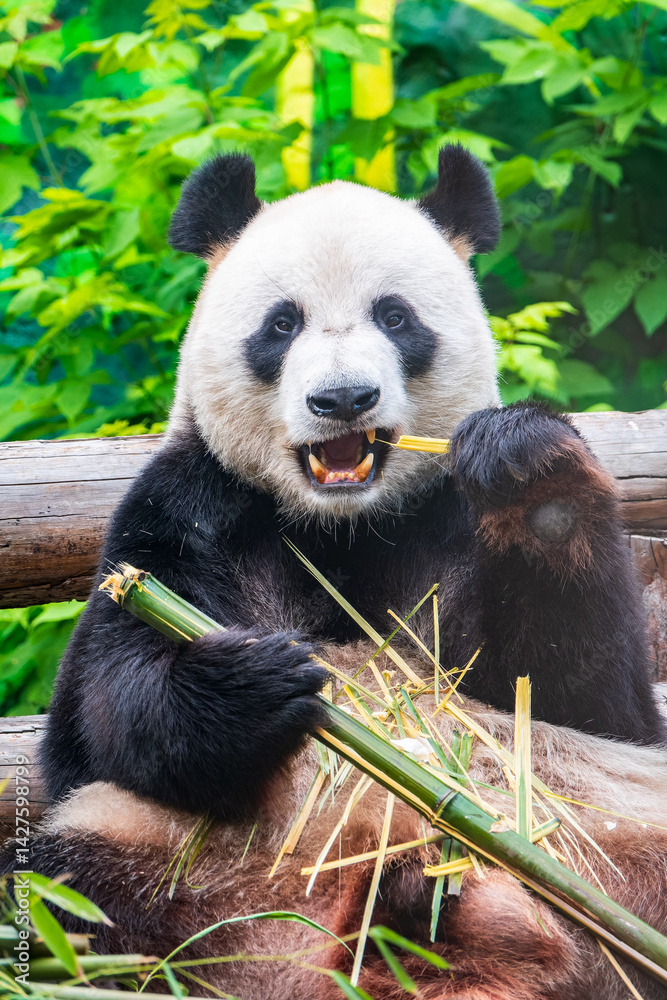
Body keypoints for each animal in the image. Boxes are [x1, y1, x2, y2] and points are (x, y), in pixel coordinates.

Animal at [19, 146, 667, 1000]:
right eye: (280, 324)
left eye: (395, 317)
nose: (343, 398)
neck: (341, 527)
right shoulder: (186, 509)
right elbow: (104, 709)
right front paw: (254, 682)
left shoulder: (443, 520)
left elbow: (583, 697)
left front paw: (530, 475)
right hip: (155, 854)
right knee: (72, 899)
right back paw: (417, 924)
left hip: (618, 837)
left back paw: (429, 921)